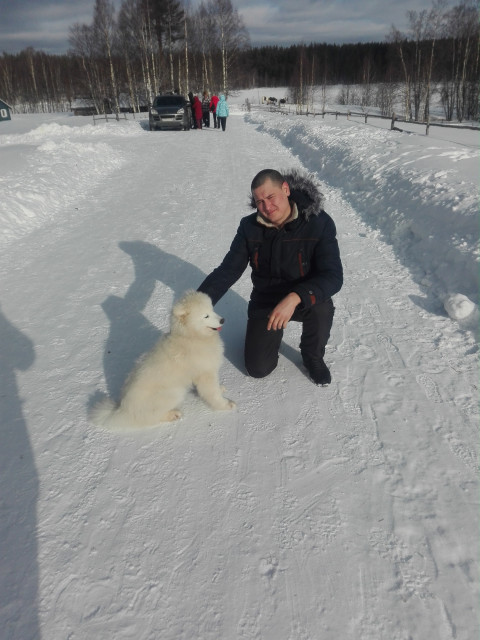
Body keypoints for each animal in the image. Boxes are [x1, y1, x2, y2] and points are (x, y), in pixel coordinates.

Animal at [90, 292, 236, 430]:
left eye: (212, 309)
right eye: (206, 316)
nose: (223, 320)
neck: (191, 337)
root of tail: (122, 410)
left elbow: (215, 388)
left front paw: (221, 388)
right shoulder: (205, 374)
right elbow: (212, 393)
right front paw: (226, 405)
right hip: (174, 393)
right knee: (150, 418)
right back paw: (173, 414)